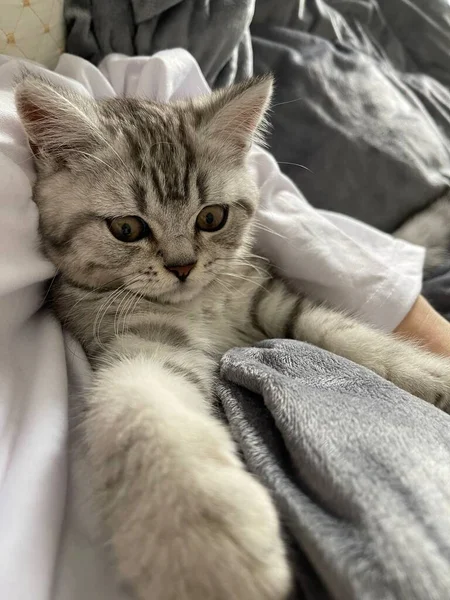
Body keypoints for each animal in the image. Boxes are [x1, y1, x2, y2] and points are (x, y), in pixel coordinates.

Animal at [15, 75, 450, 600]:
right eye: (126, 228)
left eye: (211, 218)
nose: (182, 266)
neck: (201, 306)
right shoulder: (142, 342)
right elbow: (143, 406)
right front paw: (202, 543)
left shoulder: (269, 299)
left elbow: (343, 331)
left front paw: (431, 375)